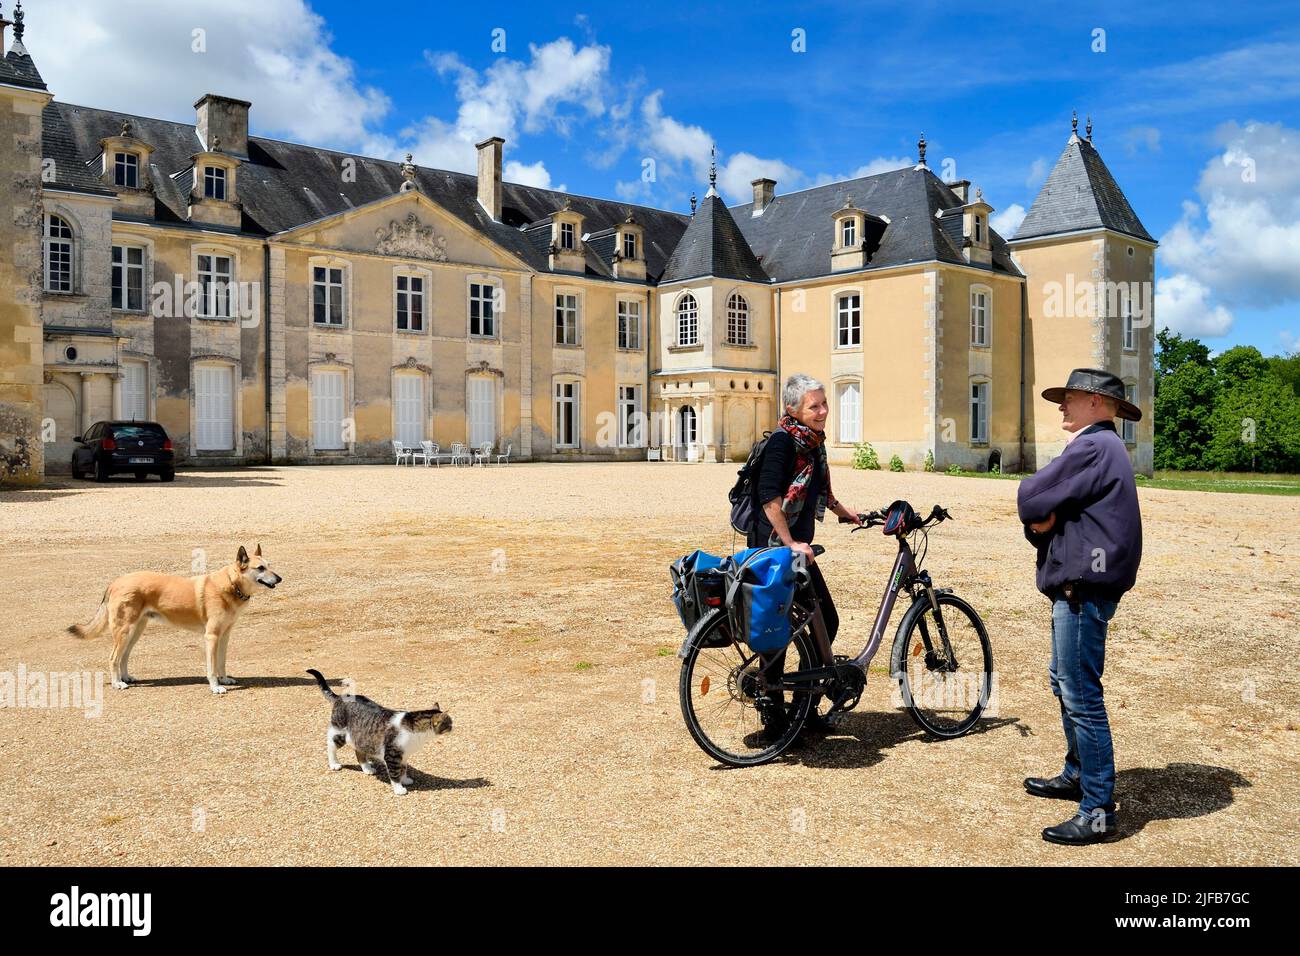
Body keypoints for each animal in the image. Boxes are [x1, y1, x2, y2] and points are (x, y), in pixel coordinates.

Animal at [68, 546, 282, 697]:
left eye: (270, 565)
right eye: (260, 568)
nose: (279, 578)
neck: (231, 585)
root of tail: (115, 581)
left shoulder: (224, 636)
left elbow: (221, 662)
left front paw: (224, 679)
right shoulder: (211, 636)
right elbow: (212, 667)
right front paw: (215, 687)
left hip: (135, 632)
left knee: (124, 656)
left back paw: (126, 677)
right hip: (124, 631)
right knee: (114, 658)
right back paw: (117, 683)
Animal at [306, 671, 454, 796]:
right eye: (449, 723)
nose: (454, 727)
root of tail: (341, 697)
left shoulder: (404, 755)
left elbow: (403, 769)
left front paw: (405, 779)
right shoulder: (392, 755)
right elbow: (395, 773)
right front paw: (399, 788)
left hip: (362, 736)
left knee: (359, 752)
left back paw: (367, 768)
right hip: (340, 733)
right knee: (331, 746)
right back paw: (334, 764)